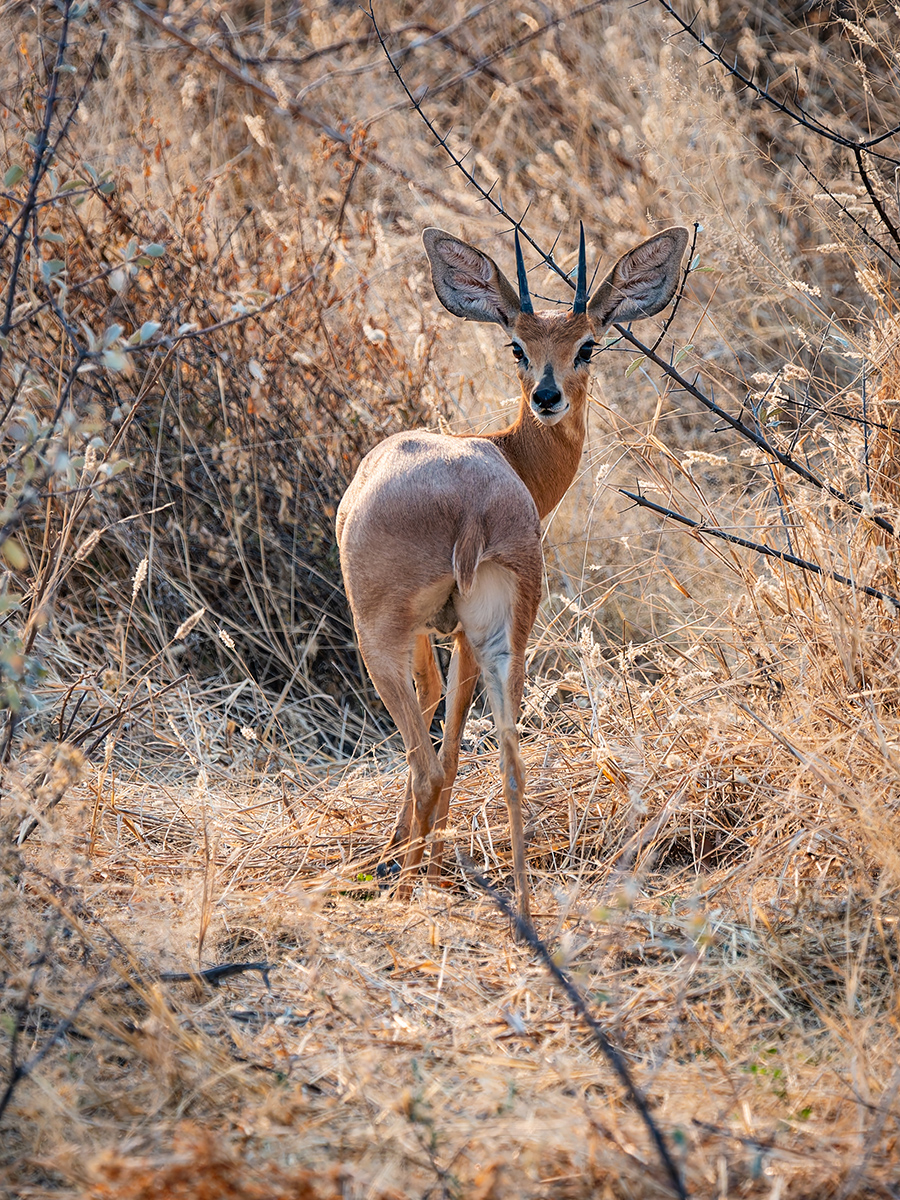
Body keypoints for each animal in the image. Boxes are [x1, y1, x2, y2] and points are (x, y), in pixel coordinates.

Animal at [337, 223, 688, 921]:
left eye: (587, 344)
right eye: (518, 345)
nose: (547, 397)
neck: (505, 452)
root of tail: (471, 504)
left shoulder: (425, 636)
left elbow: (431, 713)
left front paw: (394, 857)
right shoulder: (459, 636)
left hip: (380, 639)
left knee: (428, 764)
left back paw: (408, 890)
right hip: (503, 637)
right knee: (505, 761)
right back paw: (520, 907)